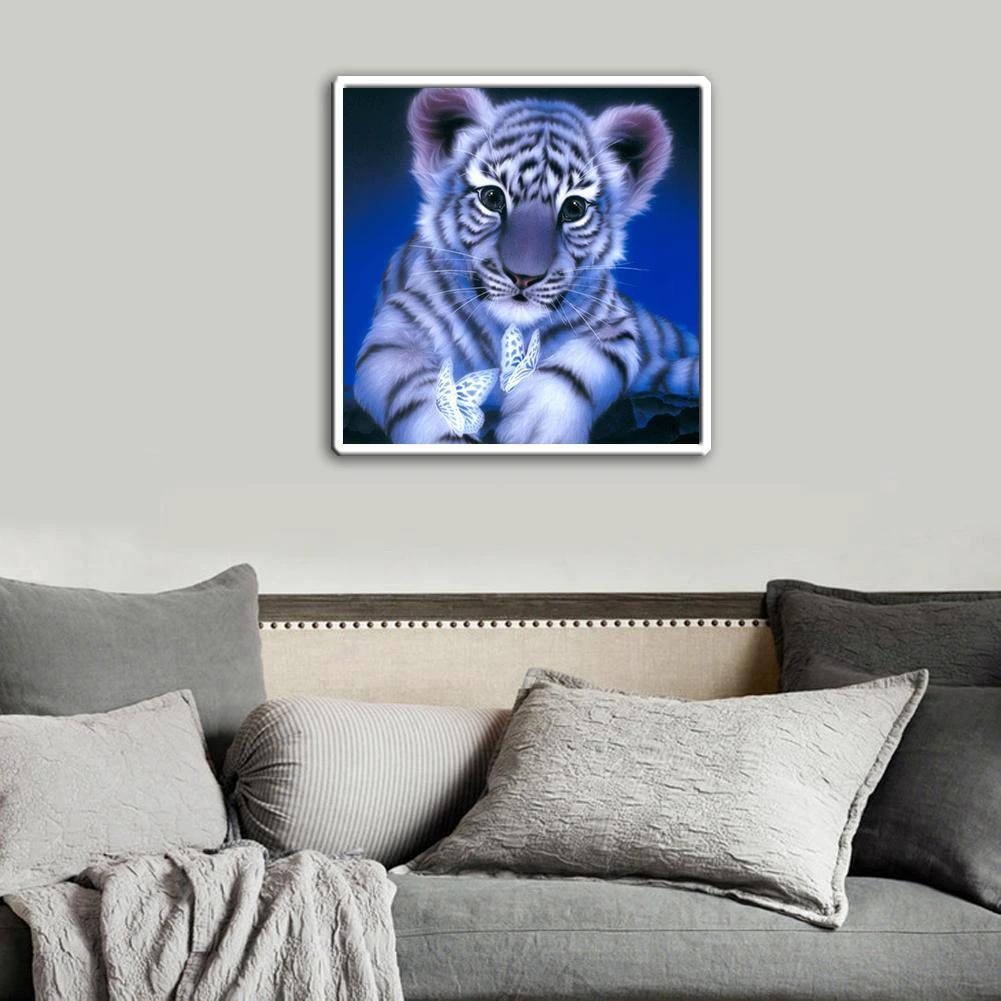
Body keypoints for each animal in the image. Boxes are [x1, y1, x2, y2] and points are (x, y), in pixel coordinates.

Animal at [352, 87, 700, 445]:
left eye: (574, 208)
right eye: (492, 198)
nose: (524, 277)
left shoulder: (615, 326)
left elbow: (580, 367)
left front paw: (538, 428)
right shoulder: (396, 333)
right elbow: (418, 391)